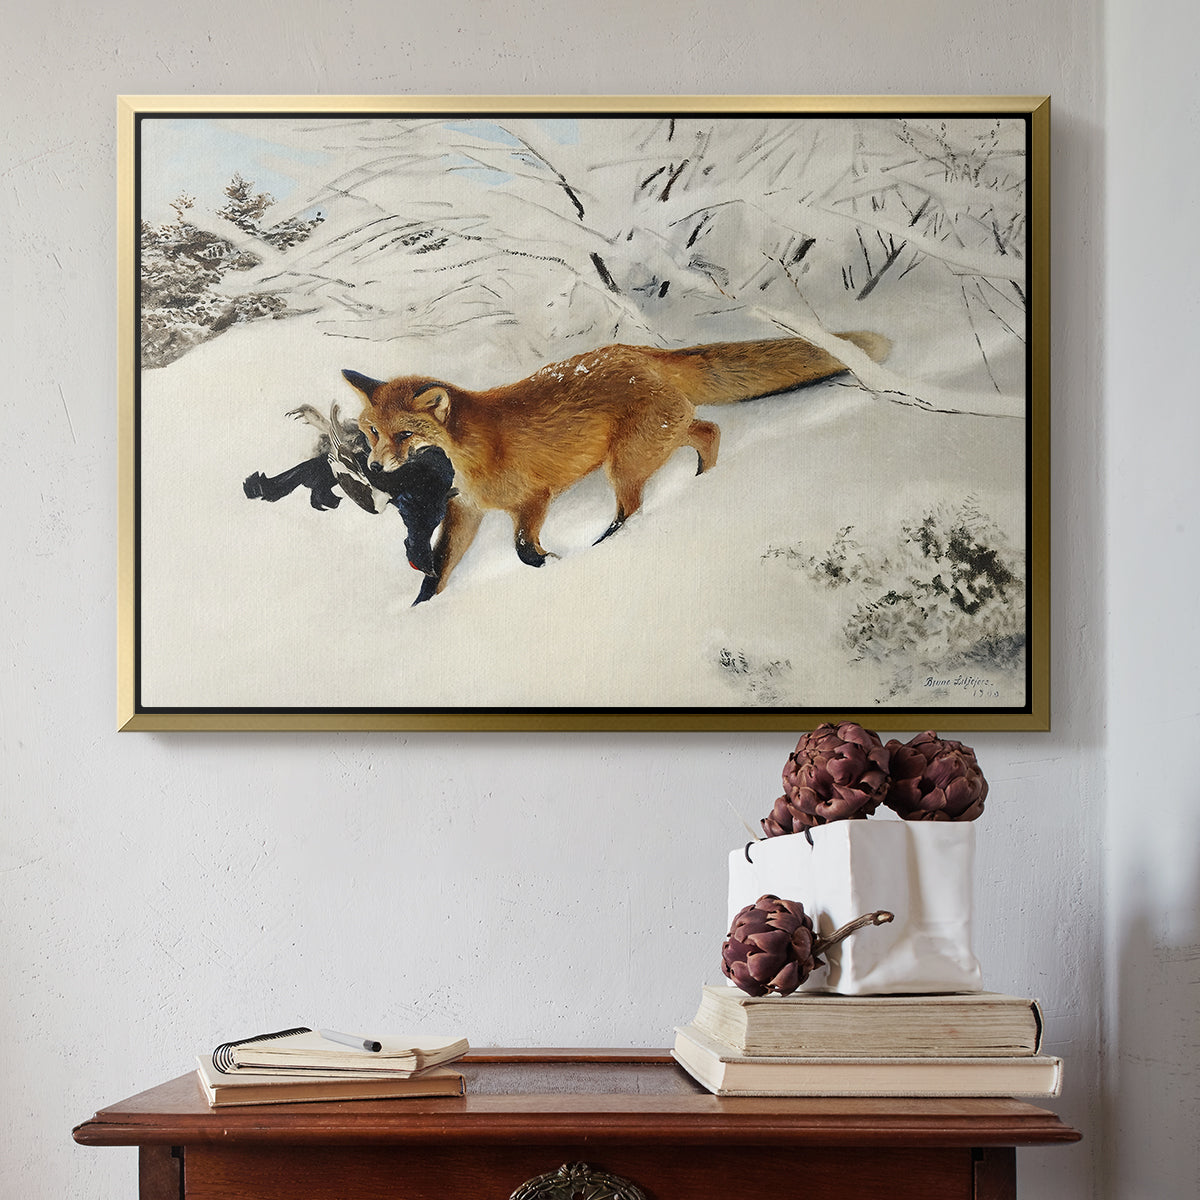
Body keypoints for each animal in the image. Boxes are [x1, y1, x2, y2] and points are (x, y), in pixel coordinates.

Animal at [343, 331, 891, 603]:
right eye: (372, 431)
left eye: (404, 435)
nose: (375, 465)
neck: (472, 453)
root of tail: (640, 352)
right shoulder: (466, 511)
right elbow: (438, 569)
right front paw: (421, 610)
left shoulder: (533, 499)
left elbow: (523, 550)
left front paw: (553, 564)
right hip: (655, 442)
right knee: (709, 430)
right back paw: (702, 481)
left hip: (624, 464)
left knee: (634, 506)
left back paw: (610, 543)